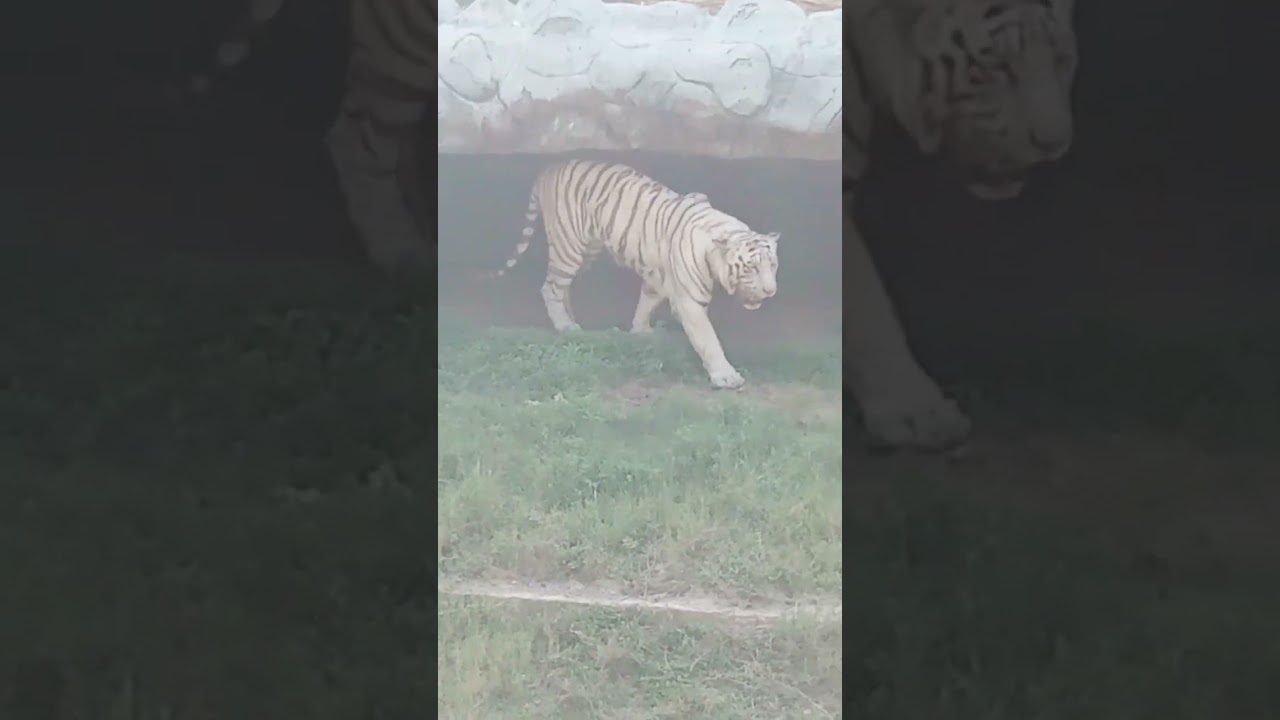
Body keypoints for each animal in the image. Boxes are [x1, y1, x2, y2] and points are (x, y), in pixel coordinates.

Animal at [492, 159, 780, 390]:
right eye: (752, 268)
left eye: (773, 266)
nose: (771, 291)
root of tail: (549, 168)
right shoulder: (690, 302)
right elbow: (708, 339)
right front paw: (726, 376)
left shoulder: (658, 276)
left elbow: (647, 301)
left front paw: (640, 330)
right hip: (569, 246)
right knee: (550, 287)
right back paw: (564, 325)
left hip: (588, 249)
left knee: (562, 285)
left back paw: (570, 319)